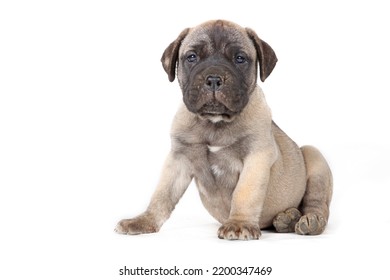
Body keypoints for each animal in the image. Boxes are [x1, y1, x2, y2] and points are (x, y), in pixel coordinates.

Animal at [115, 19, 332, 240]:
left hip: (314, 158)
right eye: (192, 57)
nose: (213, 78)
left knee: (317, 203)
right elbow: (162, 194)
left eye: (240, 58)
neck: (215, 123)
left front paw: (239, 223)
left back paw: (309, 221)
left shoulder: (257, 157)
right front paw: (144, 221)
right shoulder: (178, 159)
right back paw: (287, 218)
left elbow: (245, 193)